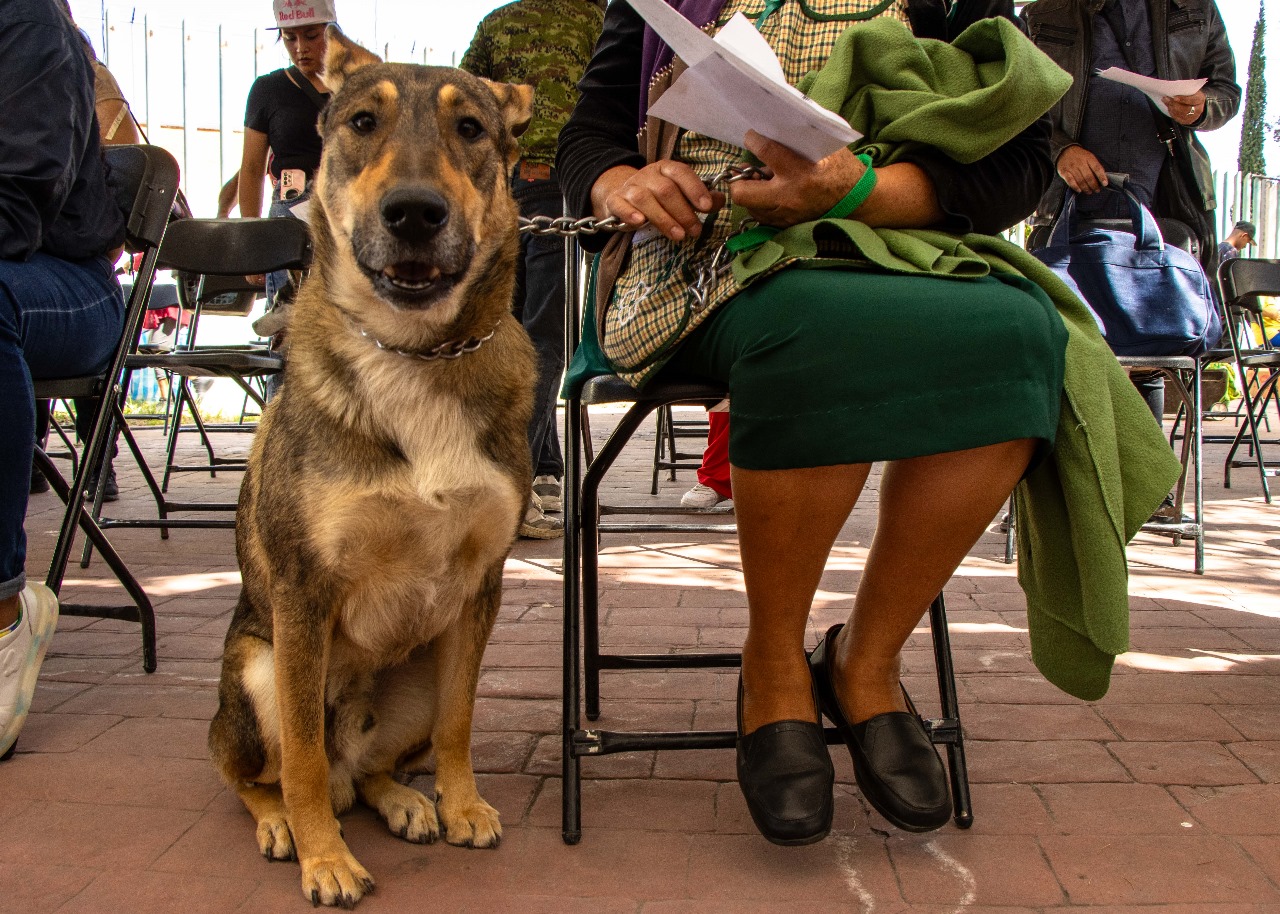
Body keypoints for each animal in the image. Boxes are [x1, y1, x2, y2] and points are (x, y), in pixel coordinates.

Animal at [208, 28, 535, 906]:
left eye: (471, 130)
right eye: (361, 122)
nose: (415, 212)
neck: (416, 355)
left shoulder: (479, 589)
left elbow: (461, 722)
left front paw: (461, 805)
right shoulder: (302, 593)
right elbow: (301, 759)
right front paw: (325, 859)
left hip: (410, 682)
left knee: (368, 769)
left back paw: (404, 802)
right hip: (256, 668)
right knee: (259, 770)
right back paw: (284, 825)